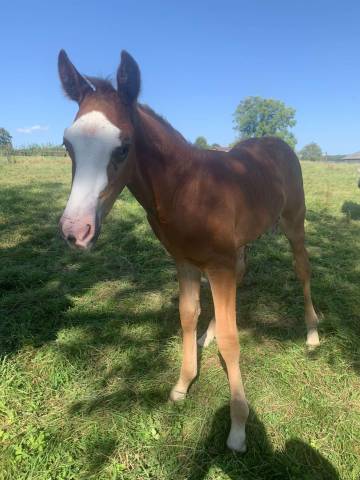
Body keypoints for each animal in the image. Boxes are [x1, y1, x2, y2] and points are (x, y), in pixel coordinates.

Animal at [57, 50, 320, 452]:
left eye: (123, 146)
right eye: (67, 145)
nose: (75, 231)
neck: (187, 189)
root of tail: (279, 143)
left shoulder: (219, 264)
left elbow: (232, 340)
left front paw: (238, 428)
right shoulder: (185, 261)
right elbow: (186, 316)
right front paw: (182, 384)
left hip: (293, 223)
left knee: (302, 269)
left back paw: (312, 334)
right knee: (243, 272)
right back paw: (208, 334)